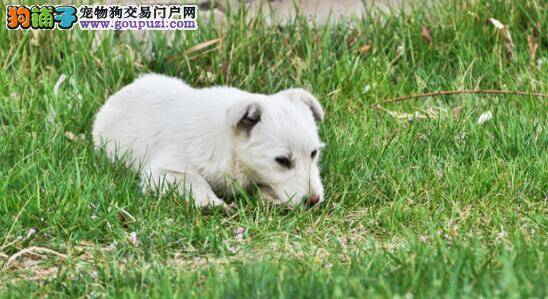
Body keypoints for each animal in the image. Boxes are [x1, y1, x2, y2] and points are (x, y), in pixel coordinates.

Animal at [92, 73, 326, 209]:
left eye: (314, 154)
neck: (231, 150)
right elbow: (196, 180)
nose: (314, 201)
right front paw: (212, 203)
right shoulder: (161, 172)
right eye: (282, 160)